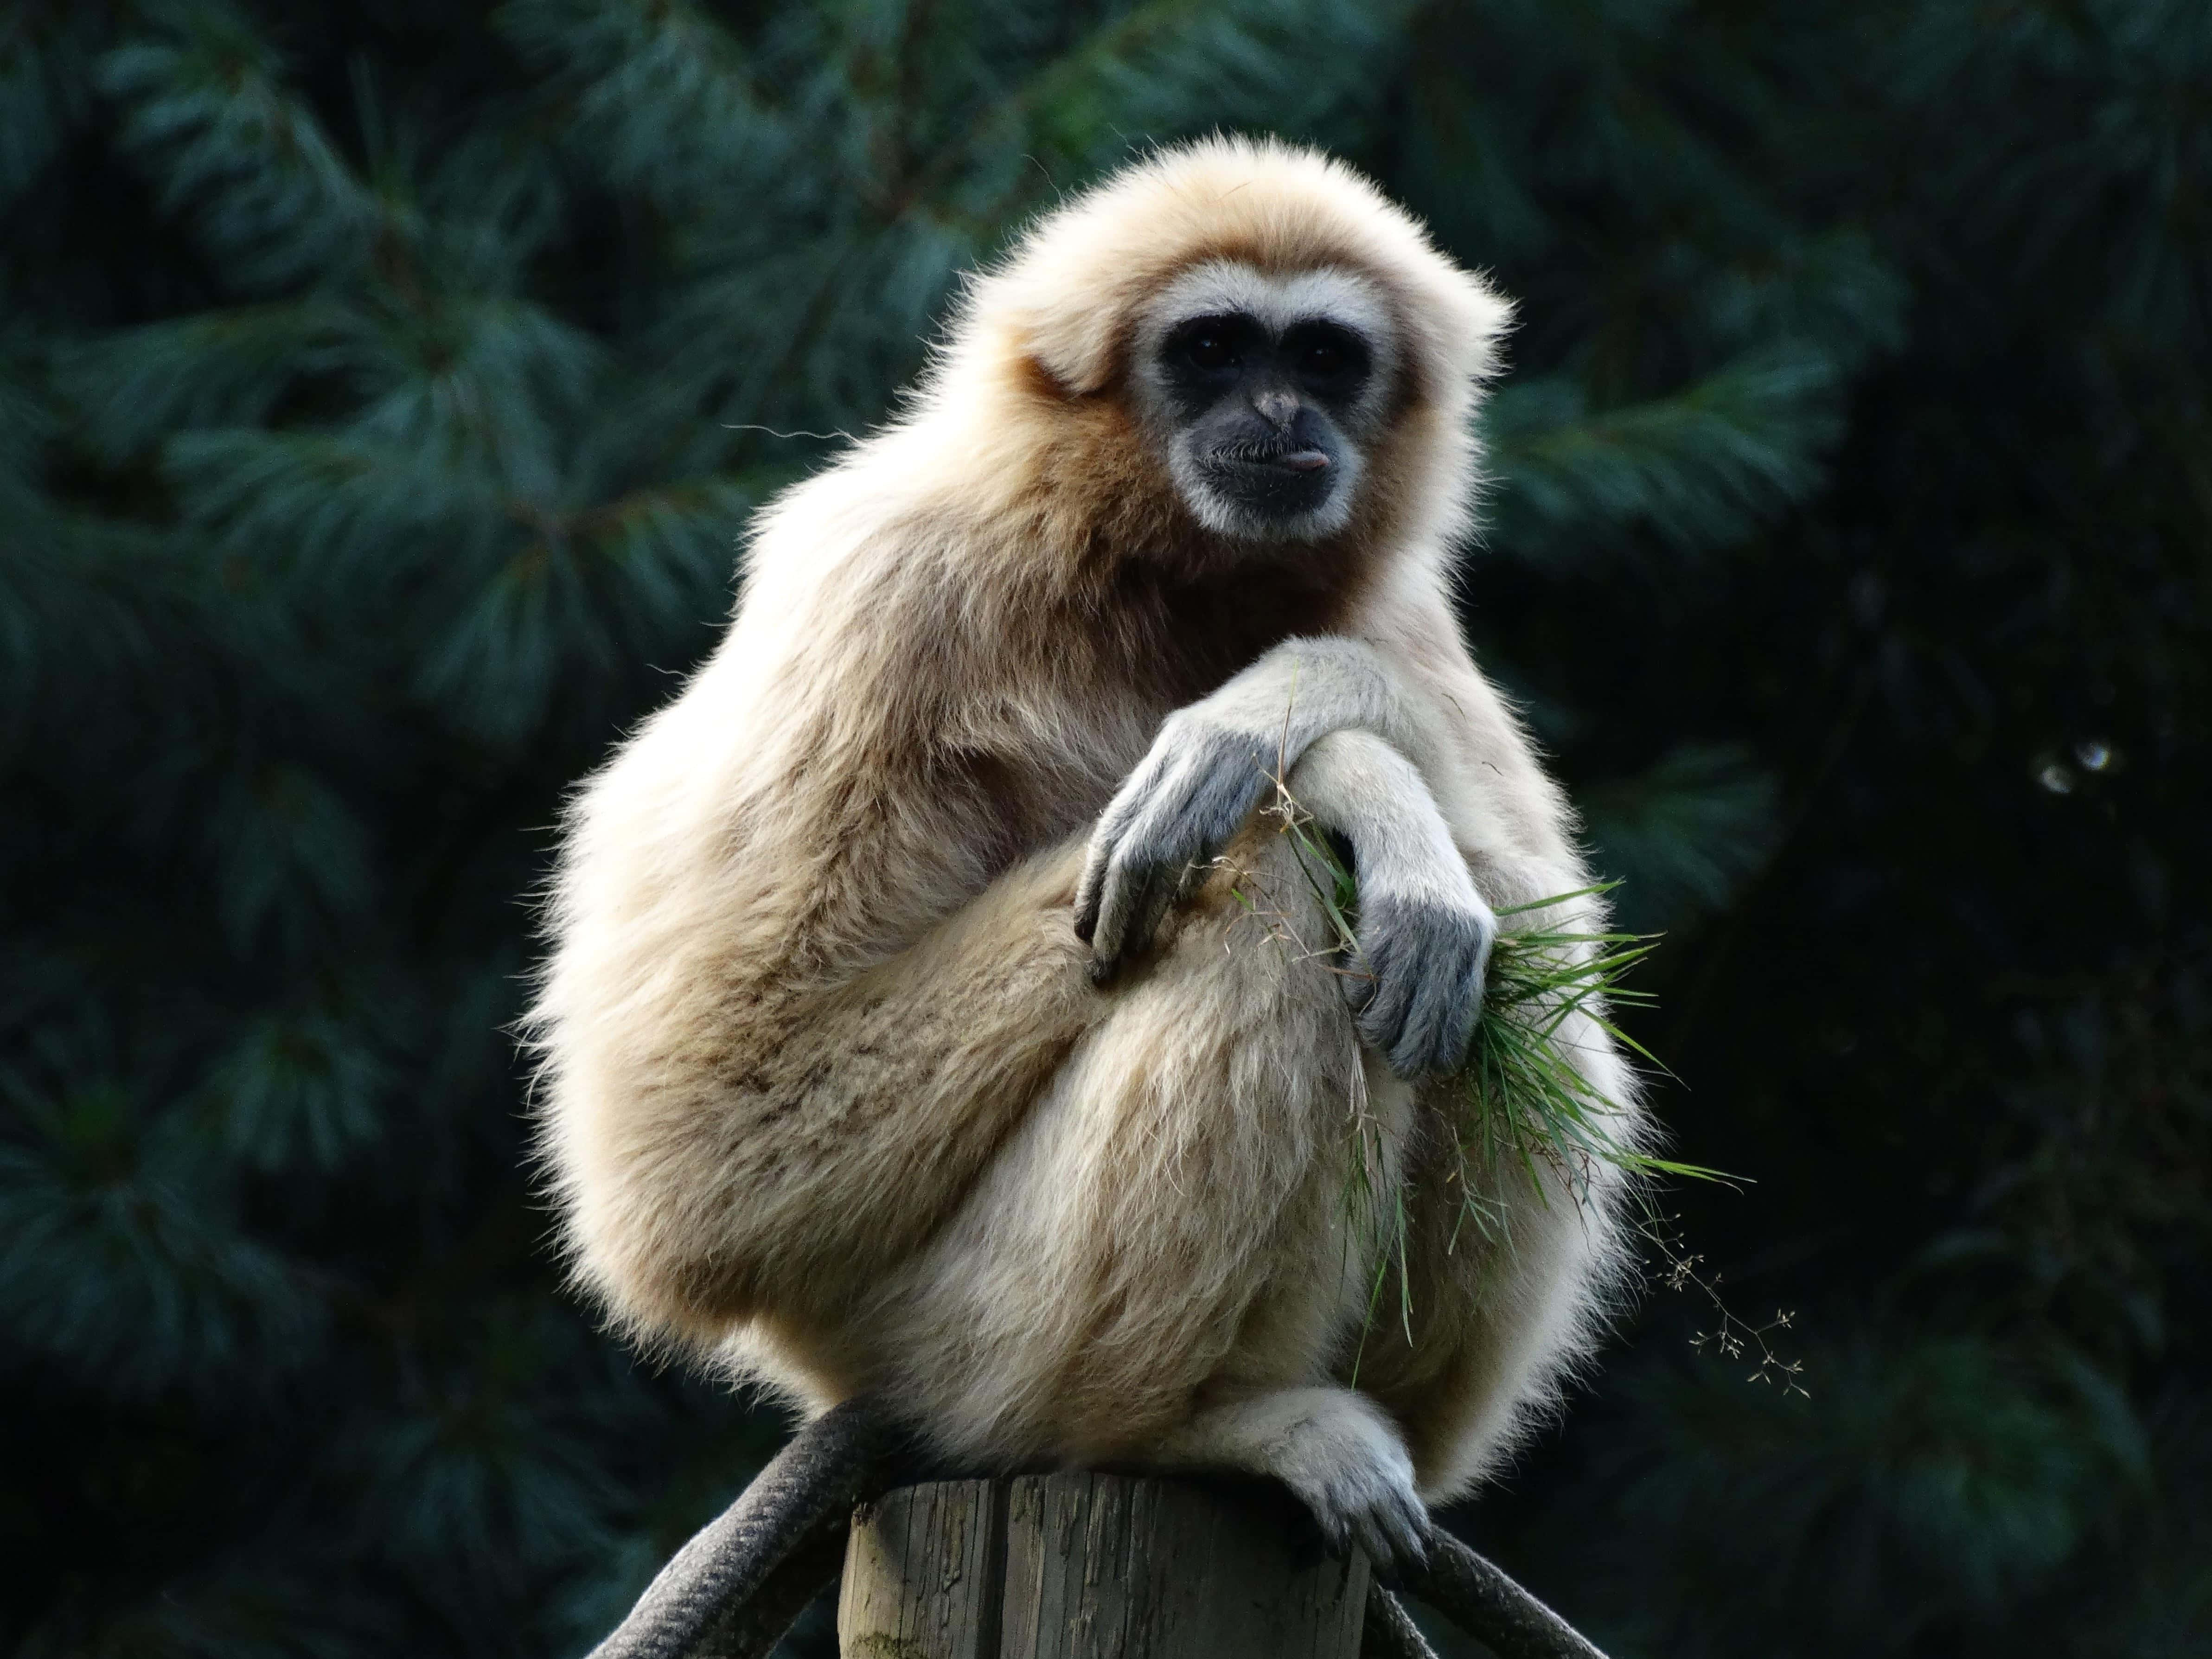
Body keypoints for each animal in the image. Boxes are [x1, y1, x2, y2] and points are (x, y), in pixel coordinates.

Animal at [532, 137, 1644, 1611]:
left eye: (1326, 355)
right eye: (1214, 347)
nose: (1281, 409)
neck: (1141, 576)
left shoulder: (1406, 614)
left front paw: (1295, 706)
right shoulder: (882, 587)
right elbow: (706, 1155)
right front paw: (1322, 755)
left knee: (1498, 969)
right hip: (955, 1345)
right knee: (1266, 890)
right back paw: (1198, 1428)